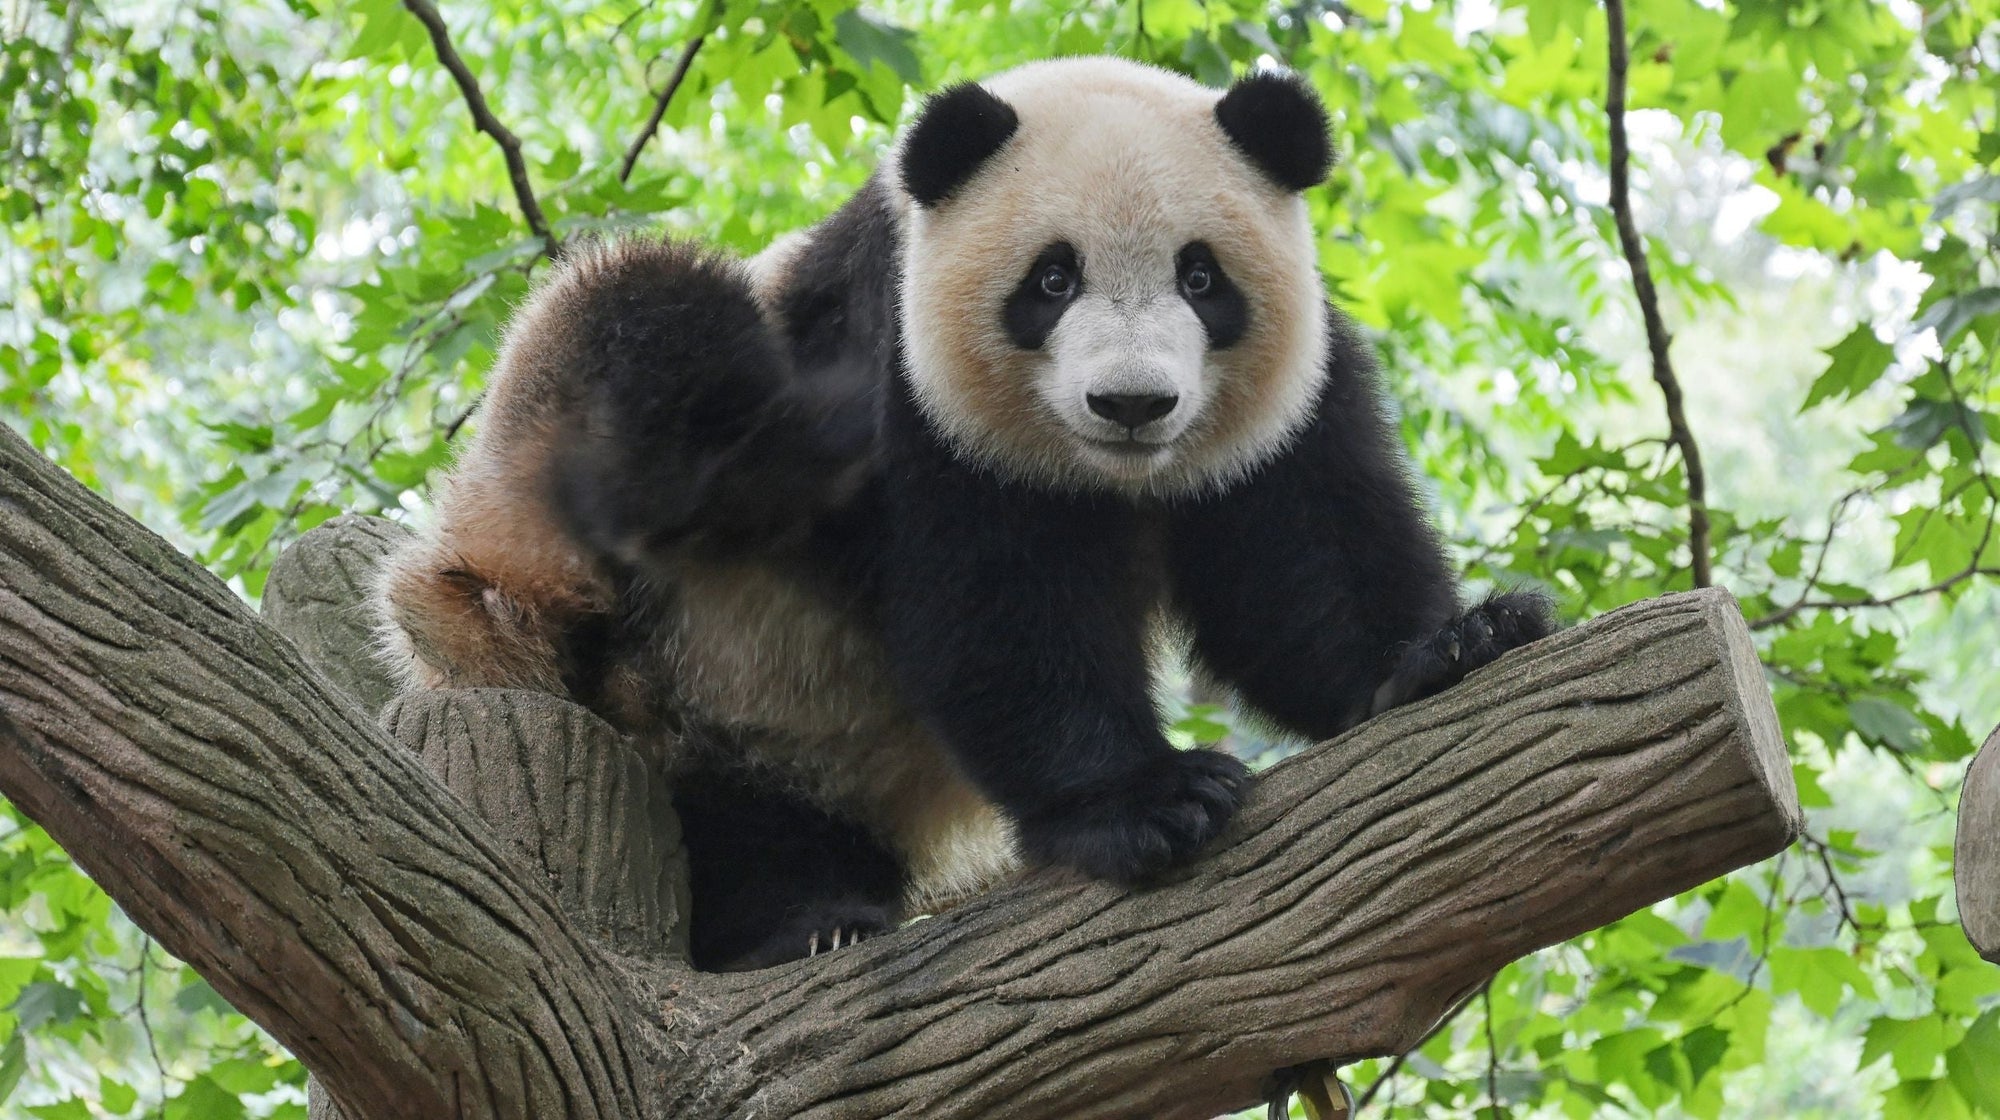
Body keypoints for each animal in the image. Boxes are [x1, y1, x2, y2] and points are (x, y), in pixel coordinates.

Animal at [374, 56, 1554, 973]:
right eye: (1051, 279)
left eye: (1201, 277)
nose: (1132, 403)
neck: (1110, 478)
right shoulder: (909, 388)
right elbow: (997, 609)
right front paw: (1149, 799)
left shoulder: (1283, 405)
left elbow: (1300, 567)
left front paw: (1452, 645)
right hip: (583, 569)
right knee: (642, 317)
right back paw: (794, 928)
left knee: (758, 815)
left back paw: (812, 908)